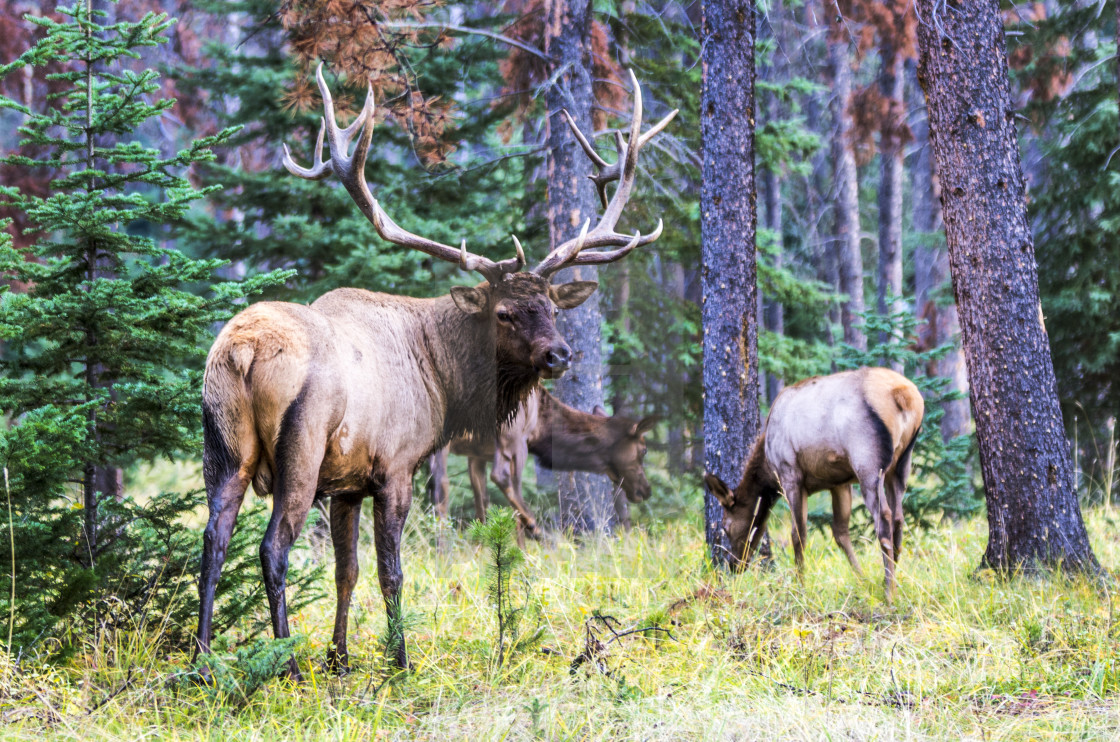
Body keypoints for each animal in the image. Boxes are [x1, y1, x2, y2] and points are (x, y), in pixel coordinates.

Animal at [427, 385, 654, 538]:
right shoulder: (516, 437)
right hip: (510, 435)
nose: (646, 490)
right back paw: (541, 535)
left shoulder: (476, 453)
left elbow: (481, 507)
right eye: (644, 450)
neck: (543, 430)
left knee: (438, 487)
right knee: (500, 478)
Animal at [703, 369, 922, 600]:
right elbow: (840, 533)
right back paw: (893, 580)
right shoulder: (839, 483)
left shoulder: (790, 476)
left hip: (868, 462)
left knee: (884, 519)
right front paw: (863, 580)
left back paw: (889, 592)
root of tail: (905, 396)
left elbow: (798, 534)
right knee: (898, 518)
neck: (768, 469)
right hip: (900, 465)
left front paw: (800, 587)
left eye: (725, 526)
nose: (733, 564)